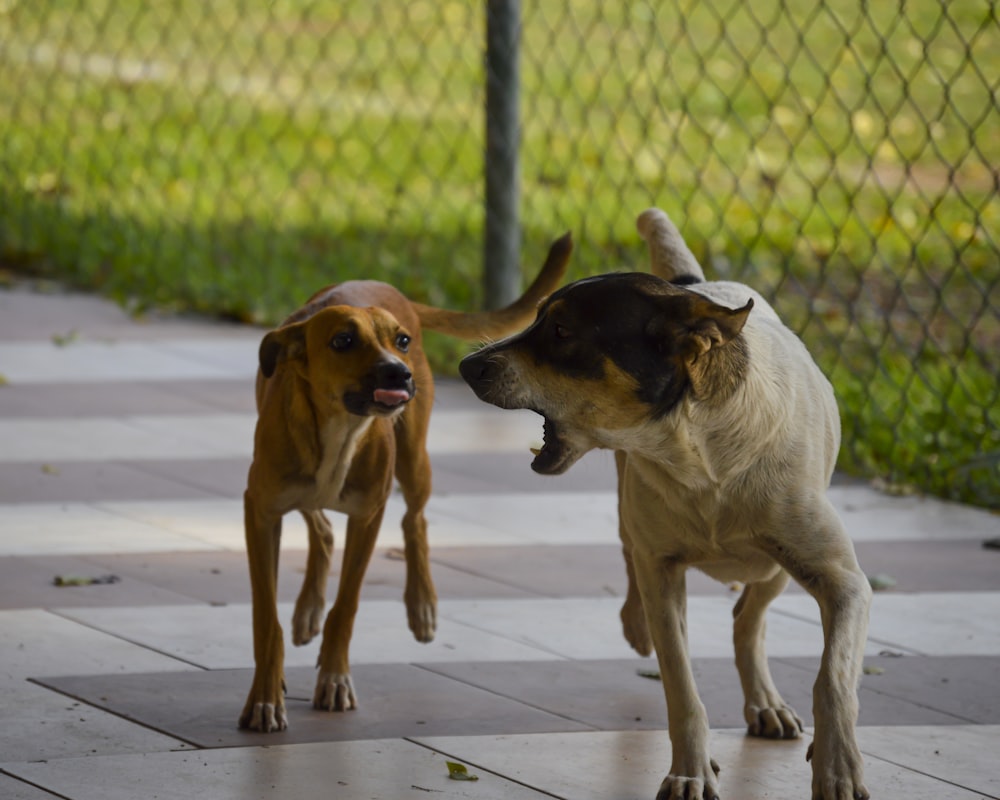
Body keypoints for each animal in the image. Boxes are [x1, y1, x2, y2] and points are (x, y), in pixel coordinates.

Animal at [236, 233, 572, 732]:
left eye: (402, 341)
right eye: (342, 341)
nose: (400, 371)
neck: (341, 431)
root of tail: (388, 287)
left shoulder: (368, 516)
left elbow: (347, 605)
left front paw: (334, 677)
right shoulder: (259, 511)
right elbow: (265, 617)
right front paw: (264, 696)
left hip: (414, 463)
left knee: (415, 522)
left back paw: (421, 605)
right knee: (321, 526)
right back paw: (309, 607)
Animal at [458, 211, 872, 800]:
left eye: (561, 332)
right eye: (537, 319)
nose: (467, 365)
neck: (699, 461)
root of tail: (694, 286)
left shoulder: (843, 582)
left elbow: (833, 678)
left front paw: (838, 767)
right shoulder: (663, 570)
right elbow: (681, 688)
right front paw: (689, 772)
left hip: (777, 564)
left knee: (749, 617)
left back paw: (766, 703)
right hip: (638, 516)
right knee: (636, 556)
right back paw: (638, 622)